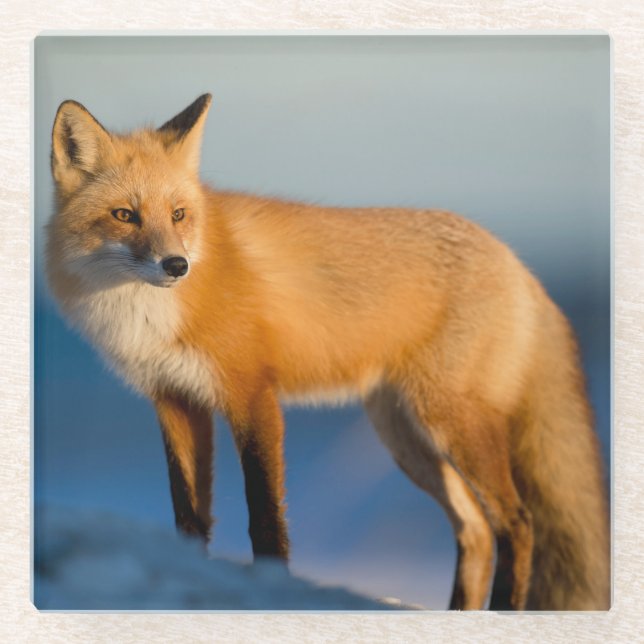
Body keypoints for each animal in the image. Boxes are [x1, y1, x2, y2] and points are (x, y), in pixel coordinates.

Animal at [46, 93, 610, 611]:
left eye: (179, 214)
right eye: (125, 215)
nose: (176, 265)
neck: (147, 313)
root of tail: (517, 263)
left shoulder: (253, 395)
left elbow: (264, 515)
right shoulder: (175, 400)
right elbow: (189, 516)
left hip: (451, 423)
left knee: (517, 522)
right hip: (407, 439)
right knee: (475, 530)